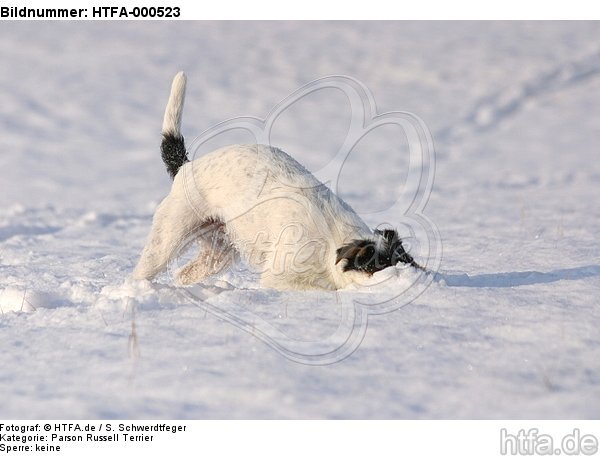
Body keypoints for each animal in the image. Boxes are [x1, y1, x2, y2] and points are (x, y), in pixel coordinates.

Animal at [134, 73, 422, 290]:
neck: (334, 243)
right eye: (379, 267)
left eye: (407, 261)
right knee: (142, 271)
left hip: (218, 252)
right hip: (168, 239)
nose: (414, 278)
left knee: (185, 274)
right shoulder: (280, 278)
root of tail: (187, 166)